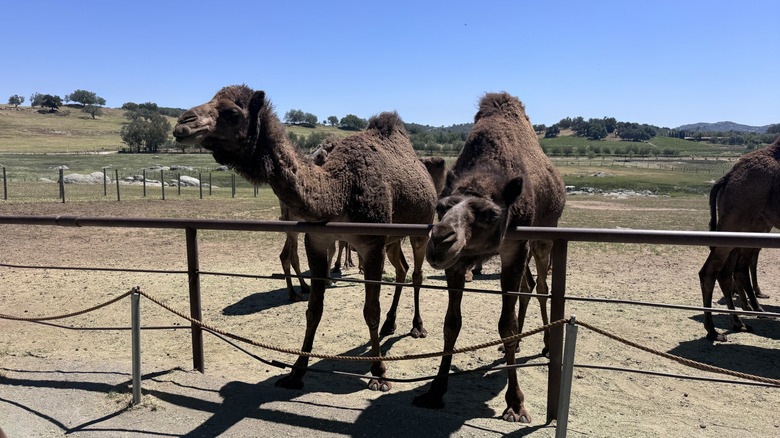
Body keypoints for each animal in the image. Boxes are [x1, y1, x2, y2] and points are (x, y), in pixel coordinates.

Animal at [174, 85, 437, 392]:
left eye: (232, 113)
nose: (183, 123)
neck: (339, 191)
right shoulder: (318, 241)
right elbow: (314, 309)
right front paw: (296, 371)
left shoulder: (371, 244)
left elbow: (370, 309)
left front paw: (379, 373)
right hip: (393, 239)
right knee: (402, 270)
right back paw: (390, 325)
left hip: (421, 228)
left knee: (416, 274)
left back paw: (417, 327)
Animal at [418, 92, 565, 423]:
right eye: (440, 207)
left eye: (491, 214)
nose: (440, 241)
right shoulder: (459, 261)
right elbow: (451, 323)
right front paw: (435, 390)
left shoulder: (514, 247)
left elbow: (505, 327)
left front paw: (516, 404)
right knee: (527, 286)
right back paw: (523, 341)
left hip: (543, 235)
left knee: (541, 287)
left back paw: (547, 345)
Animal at [699, 136, 780, 341]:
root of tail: (727, 177)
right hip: (737, 222)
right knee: (713, 271)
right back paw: (714, 331)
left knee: (730, 271)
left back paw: (740, 321)